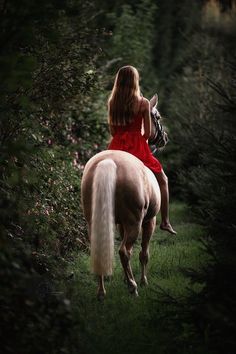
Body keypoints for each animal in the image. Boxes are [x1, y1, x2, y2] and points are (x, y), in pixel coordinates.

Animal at [81, 93, 168, 298]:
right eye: (157, 117)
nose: (164, 139)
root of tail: (108, 162)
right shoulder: (149, 221)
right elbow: (144, 253)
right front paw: (143, 281)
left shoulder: (120, 223)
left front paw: (124, 279)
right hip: (135, 222)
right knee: (124, 252)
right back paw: (133, 287)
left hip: (94, 220)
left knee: (100, 250)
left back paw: (101, 292)